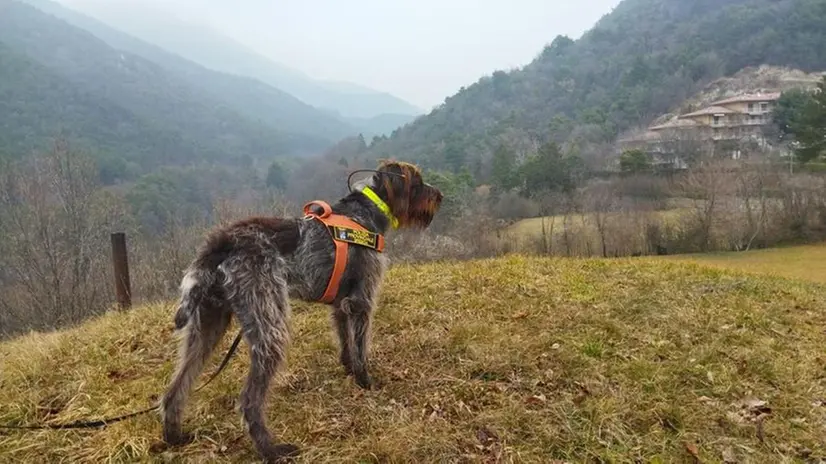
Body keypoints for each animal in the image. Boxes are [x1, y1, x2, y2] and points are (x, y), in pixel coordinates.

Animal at [162, 161, 444, 462]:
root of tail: (221, 242)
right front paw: (366, 382)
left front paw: (349, 369)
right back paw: (271, 450)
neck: (364, 212)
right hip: (270, 327)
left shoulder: (342, 304)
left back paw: (174, 437)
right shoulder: (362, 300)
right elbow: (361, 347)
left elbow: (345, 342)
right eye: (418, 182)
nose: (440, 195)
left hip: (208, 326)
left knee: (175, 389)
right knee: (248, 401)